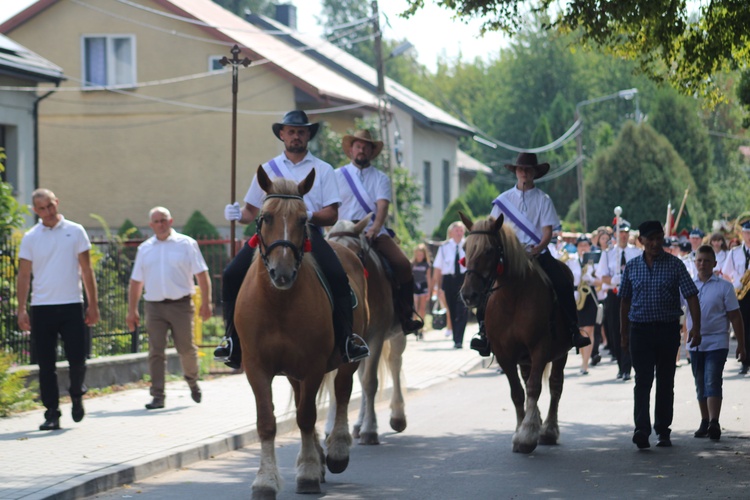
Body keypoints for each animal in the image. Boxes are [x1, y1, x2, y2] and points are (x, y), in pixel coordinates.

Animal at [236, 166, 368, 498]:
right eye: (265, 217)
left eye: (301, 219)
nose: (281, 273)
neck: (278, 303)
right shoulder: (257, 367)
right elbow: (267, 422)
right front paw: (265, 481)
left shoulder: (313, 365)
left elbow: (308, 416)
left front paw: (308, 472)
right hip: (293, 372)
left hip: (346, 360)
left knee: (342, 393)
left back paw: (336, 452)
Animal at [330, 221, 412, 444]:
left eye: (357, 253)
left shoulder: (376, 338)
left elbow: (370, 382)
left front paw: (370, 429)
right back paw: (358, 424)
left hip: (397, 336)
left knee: (394, 364)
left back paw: (397, 416)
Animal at [458, 211, 568, 454]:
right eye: (465, 248)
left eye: (489, 250)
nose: (468, 295)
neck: (512, 298)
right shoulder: (504, 354)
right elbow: (517, 392)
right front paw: (521, 429)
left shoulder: (540, 348)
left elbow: (535, 388)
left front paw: (526, 435)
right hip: (524, 357)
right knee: (528, 383)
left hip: (560, 353)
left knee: (555, 386)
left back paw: (548, 429)